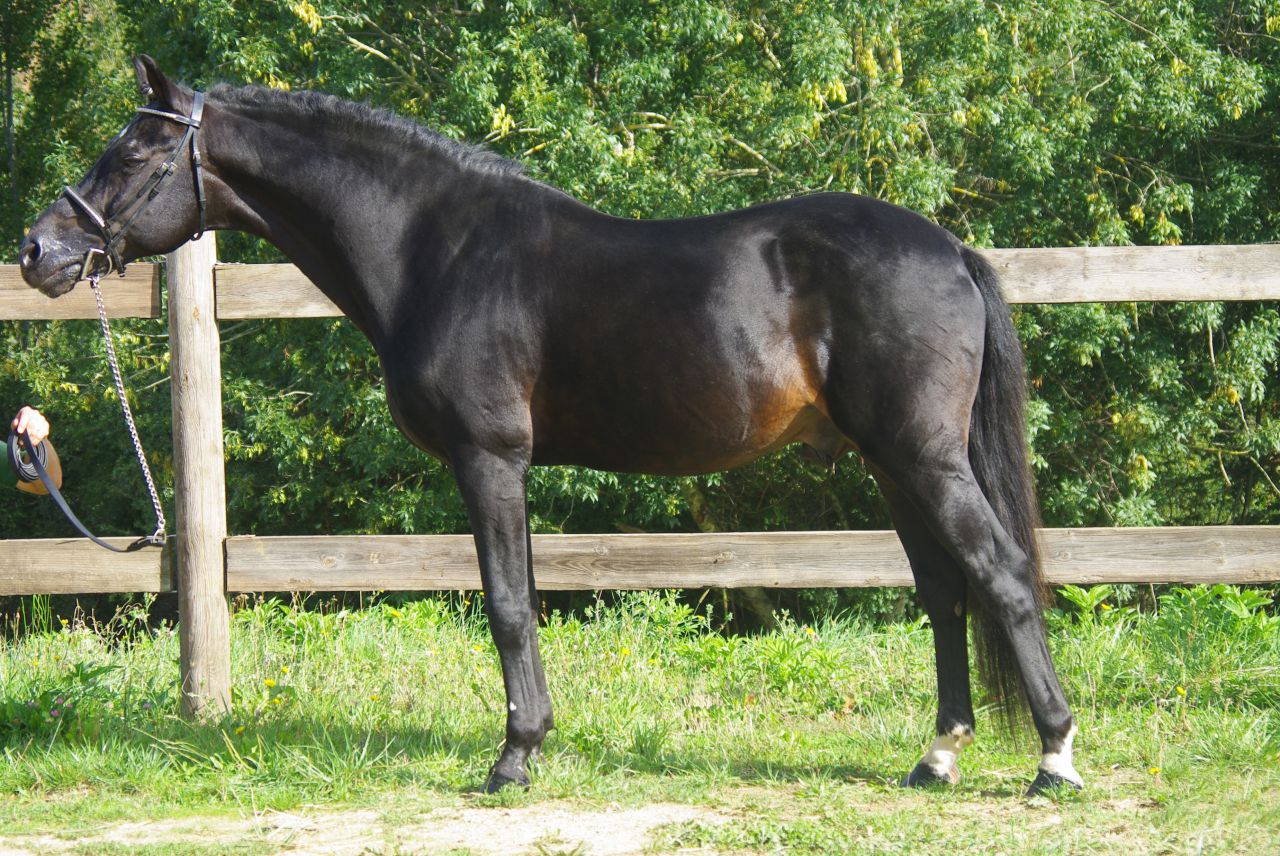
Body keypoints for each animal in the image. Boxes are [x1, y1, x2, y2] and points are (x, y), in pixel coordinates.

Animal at [20, 56, 1082, 796]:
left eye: (136, 154)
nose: (38, 250)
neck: (437, 249)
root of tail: (949, 249)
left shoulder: (488, 458)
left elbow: (507, 605)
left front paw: (512, 759)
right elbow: (521, 599)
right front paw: (529, 744)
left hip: (923, 458)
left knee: (999, 576)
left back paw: (1055, 761)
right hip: (891, 464)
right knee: (945, 594)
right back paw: (937, 758)